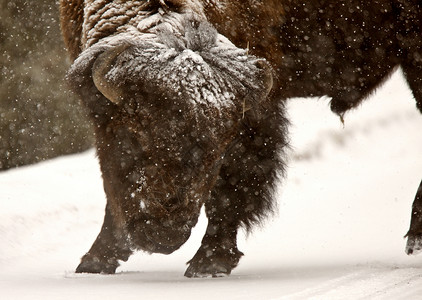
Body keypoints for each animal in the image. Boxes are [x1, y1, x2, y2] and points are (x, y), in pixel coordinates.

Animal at [60, 0, 422, 278]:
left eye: (217, 148)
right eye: (134, 134)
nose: (164, 232)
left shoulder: (257, 114)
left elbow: (233, 185)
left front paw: (209, 263)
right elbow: (112, 192)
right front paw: (94, 262)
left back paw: (415, 238)